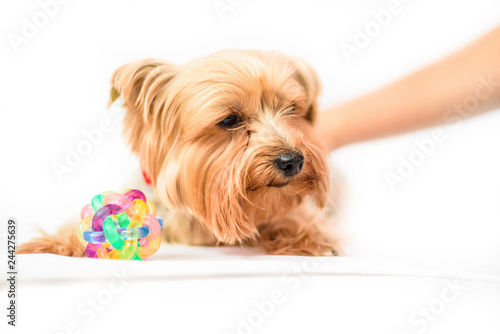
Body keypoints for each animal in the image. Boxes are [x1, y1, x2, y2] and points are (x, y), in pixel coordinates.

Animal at [17, 51, 342, 258]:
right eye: (230, 120)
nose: (293, 161)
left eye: (292, 109)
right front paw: (51, 243)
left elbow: (295, 219)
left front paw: (313, 239)